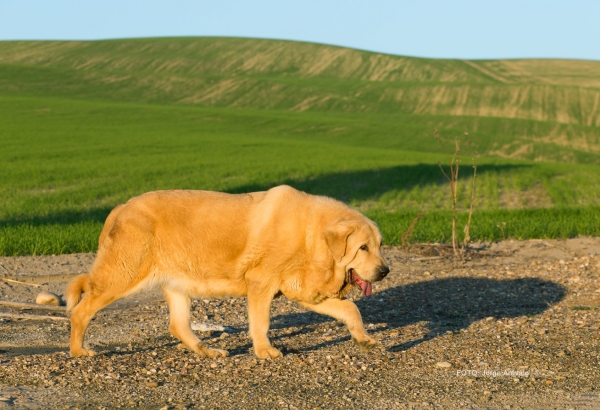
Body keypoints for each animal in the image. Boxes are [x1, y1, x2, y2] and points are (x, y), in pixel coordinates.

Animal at [65, 186, 390, 358]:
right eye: (363, 248)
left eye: (379, 245)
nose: (385, 270)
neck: (314, 237)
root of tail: (120, 207)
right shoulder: (261, 284)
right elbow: (261, 323)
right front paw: (265, 351)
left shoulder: (305, 291)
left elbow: (350, 309)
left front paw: (364, 339)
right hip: (123, 275)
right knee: (81, 311)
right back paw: (79, 351)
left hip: (178, 283)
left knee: (178, 325)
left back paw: (207, 352)